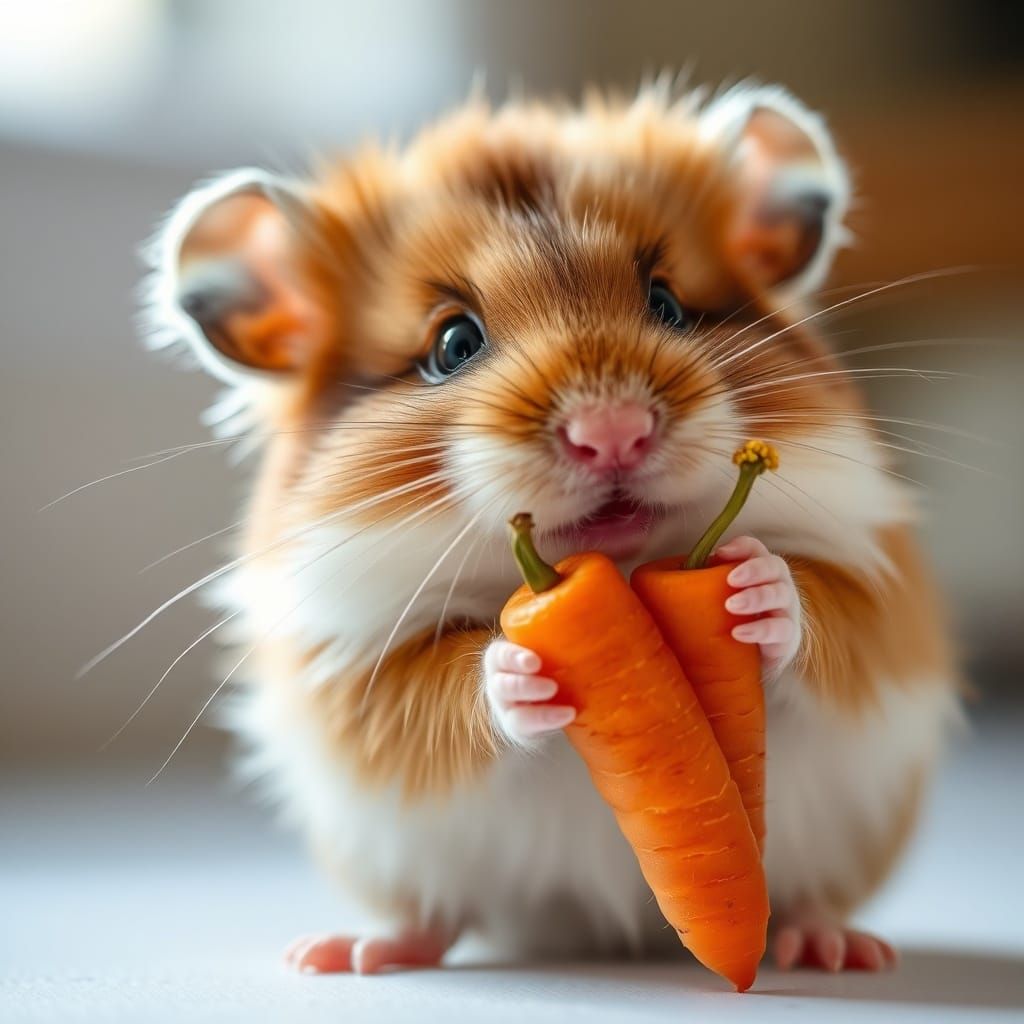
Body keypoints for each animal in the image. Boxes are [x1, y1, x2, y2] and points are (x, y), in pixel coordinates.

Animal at [145, 83, 959, 975]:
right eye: (453, 344)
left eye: (667, 303)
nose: (614, 431)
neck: (624, 573)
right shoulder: (352, 677)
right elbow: (440, 691)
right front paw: (520, 665)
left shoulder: (880, 600)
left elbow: (827, 613)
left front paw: (755, 587)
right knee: (430, 917)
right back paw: (346, 953)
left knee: (812, 902)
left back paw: (836, 948)